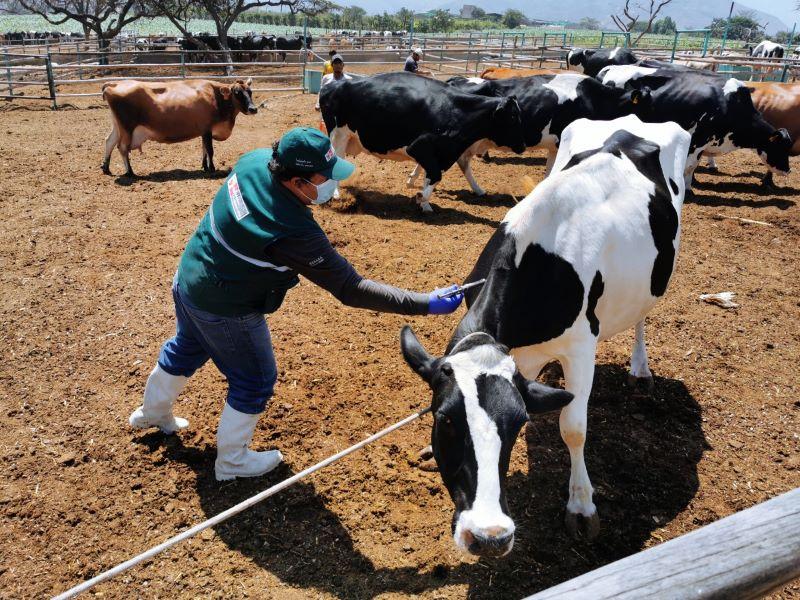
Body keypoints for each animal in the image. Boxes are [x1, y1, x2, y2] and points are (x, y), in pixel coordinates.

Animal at [101, 77, 256, 176]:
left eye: (250, 92)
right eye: (237, 93)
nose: (253, 109)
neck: (216, 97)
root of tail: (114, 83)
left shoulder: (204, 131)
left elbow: (204, 150)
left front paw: (205, 167)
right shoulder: (207, 128)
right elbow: (210, 150)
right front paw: (212, 169)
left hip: (118, 126)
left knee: (109, 141)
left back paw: (106, 168)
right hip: (127, 127)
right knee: (122, 147)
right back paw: (130, 172)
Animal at [318, 71, 524, 212]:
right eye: (513, 116)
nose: (523, 145)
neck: (456, 111)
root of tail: (332, 86)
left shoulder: (445, 152)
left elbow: (432, 176)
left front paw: (425, 203)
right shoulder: (418, 147)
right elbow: (435, 175)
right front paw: (420, 198)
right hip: (338, 135)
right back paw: (335, 194)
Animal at [404, 115, 692, 556]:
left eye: (517, 423)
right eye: (444, 420)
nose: (488, 536)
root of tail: (633, 119)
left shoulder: (581, 347)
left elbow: (573, 426)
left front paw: (582, 506)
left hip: (656, 274)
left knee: (642, 314)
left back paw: (640, 370)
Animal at [440, 72, 648, 195]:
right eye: (650, 105)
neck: (593, 98)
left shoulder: (555, 147)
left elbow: (549, 172)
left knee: (463, 161)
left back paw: (478, 190)